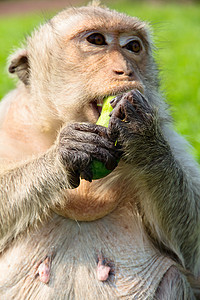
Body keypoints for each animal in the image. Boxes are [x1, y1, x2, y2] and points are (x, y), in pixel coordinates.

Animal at [0, 1, 200, 298]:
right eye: (96, 40)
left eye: (133, 47)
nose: (126, 70)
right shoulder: (8, 122)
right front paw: (67, 151)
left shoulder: (169, 135)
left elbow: (193, 253)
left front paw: (143, 137)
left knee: (174, 275)